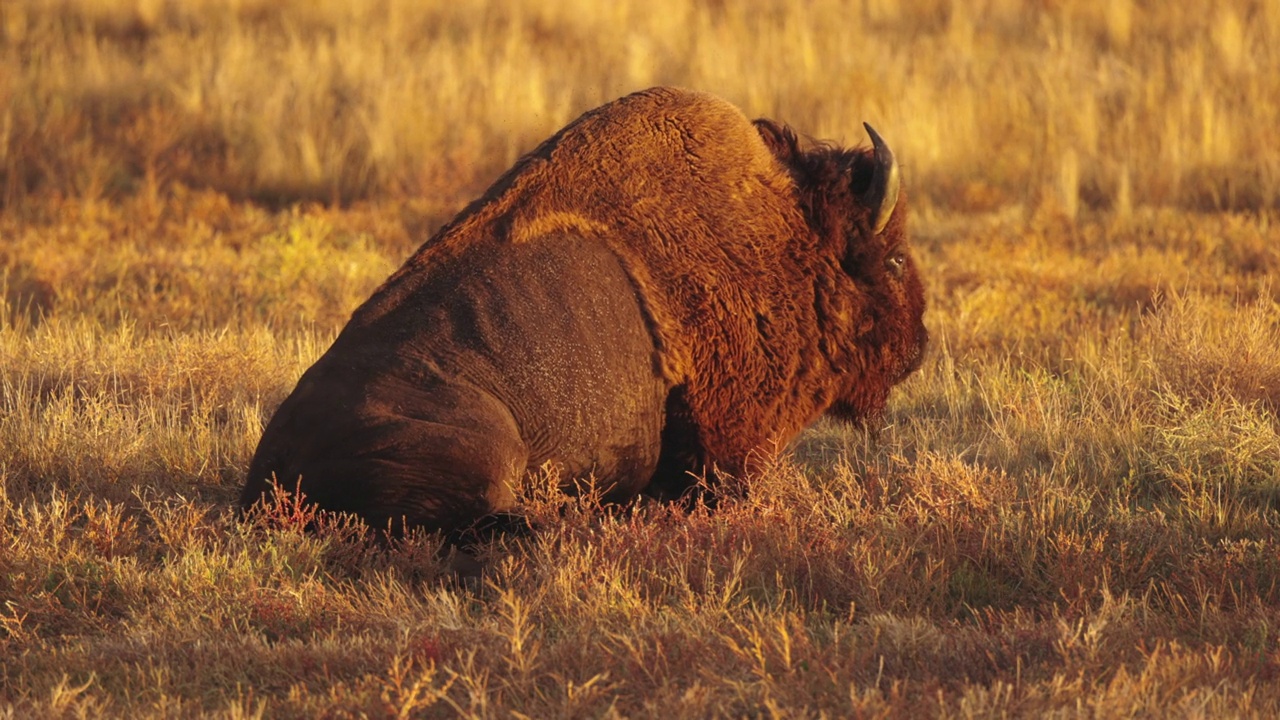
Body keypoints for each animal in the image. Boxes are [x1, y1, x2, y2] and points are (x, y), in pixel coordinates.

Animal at [240, 87, 926, 535]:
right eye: (892, 260)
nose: (919, 345)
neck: (784, 233)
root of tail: (267, 468)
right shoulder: (728, 445)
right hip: (486, 448)